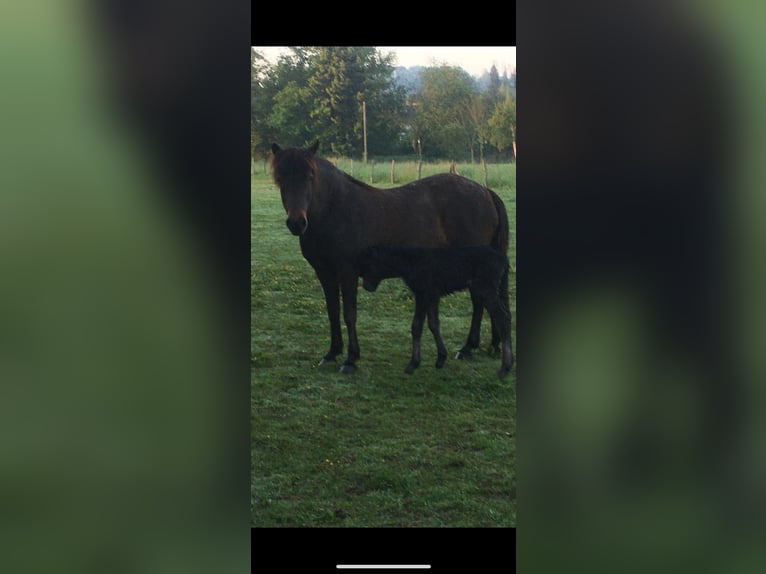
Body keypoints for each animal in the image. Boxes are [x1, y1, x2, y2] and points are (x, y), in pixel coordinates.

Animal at [270, 142, 510, 376]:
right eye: (280, 178)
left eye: (310, 176)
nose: (297, 223)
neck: (334, 209)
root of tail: (485, 191)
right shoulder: (324, 273)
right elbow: (332, 312)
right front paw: (332, 353)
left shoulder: (348, 272)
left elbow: (349, 314)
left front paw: (351, 359)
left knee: (478, 303)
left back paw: (468, 348)